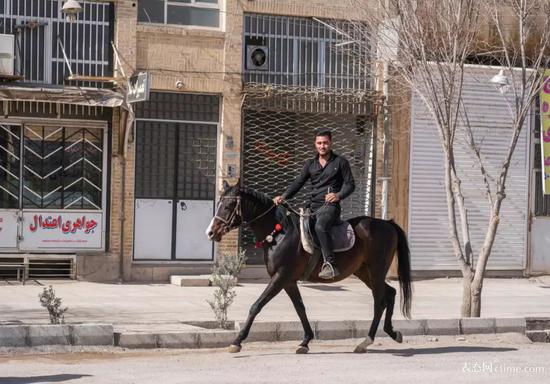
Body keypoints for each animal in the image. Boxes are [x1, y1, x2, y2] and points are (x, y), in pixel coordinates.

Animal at [205, 182, 412, 352]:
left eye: (228, 206)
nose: (210, 232)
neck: (279, 233)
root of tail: (388, 224)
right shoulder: (288, 281)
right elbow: (300, 308)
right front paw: (305, 341)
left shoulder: (280, 277)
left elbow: (256, 306)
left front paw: (237, 341)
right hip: (365, 272)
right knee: (391, 293)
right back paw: (392, 332)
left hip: (376, 271)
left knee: (380, 302)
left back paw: (366, 341)